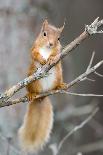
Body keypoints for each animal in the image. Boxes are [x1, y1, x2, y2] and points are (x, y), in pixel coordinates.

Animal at [18, 19, 67, 153]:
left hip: (58, 75)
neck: (46, 49)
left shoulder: (58, 51)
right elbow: (34, 54)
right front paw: (42, 59)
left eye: (59, 38)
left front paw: (50, 58)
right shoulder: (34, 47)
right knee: (31, 89)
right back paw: (31, 94)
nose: (51, 43)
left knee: (56, 85)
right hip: (32, 79)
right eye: (44, 34)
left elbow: (56, 54)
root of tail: (42, 96)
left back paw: (60, 86)